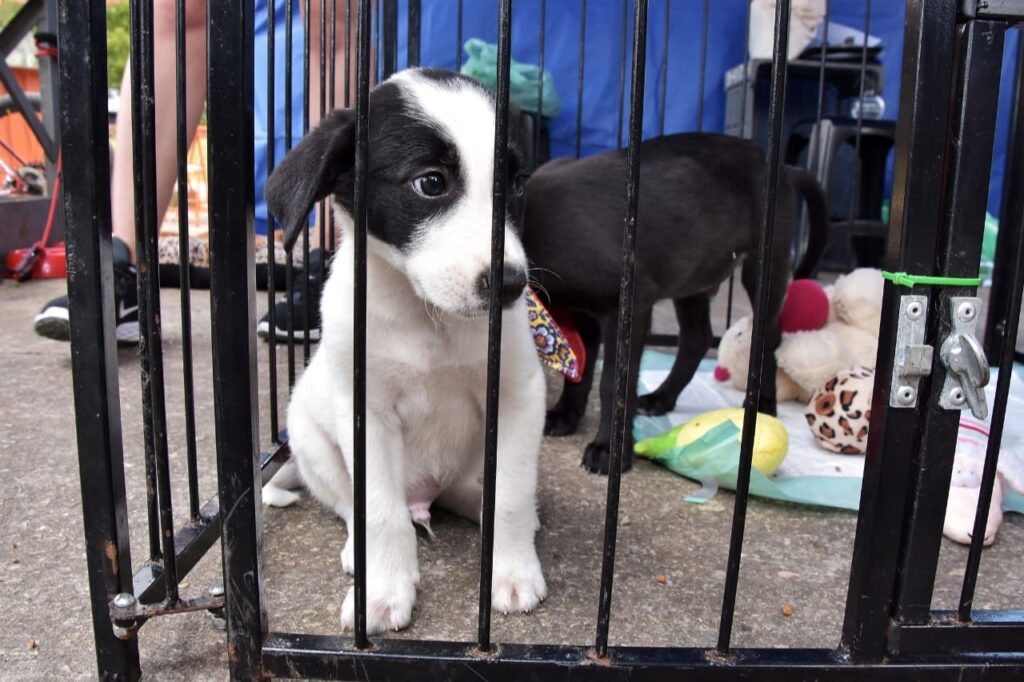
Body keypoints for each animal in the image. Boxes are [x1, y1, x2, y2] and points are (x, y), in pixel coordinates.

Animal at [266, 69, 552, 630]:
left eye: (516, 183)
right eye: (431, 183)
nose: (511, 286)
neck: (427, 317)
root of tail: (426, 495)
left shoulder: (518, 395)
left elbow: (509, 495)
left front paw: (511, 572)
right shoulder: (366, 413)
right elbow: (379, 511)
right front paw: (383, 589)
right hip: (310, 439)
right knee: (354, 506)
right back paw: (360, 550)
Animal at [524, 133, 827, 473]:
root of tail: (785, 170)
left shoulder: (629, 304)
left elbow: (614, 383)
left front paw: (609, 451)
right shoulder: (583, 311)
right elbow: (580, 371)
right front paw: (564, 415)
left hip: (765, 263)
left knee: (768, 336)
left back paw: (763, 405)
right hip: (694, 278)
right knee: (698, 338)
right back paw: (661, 398)